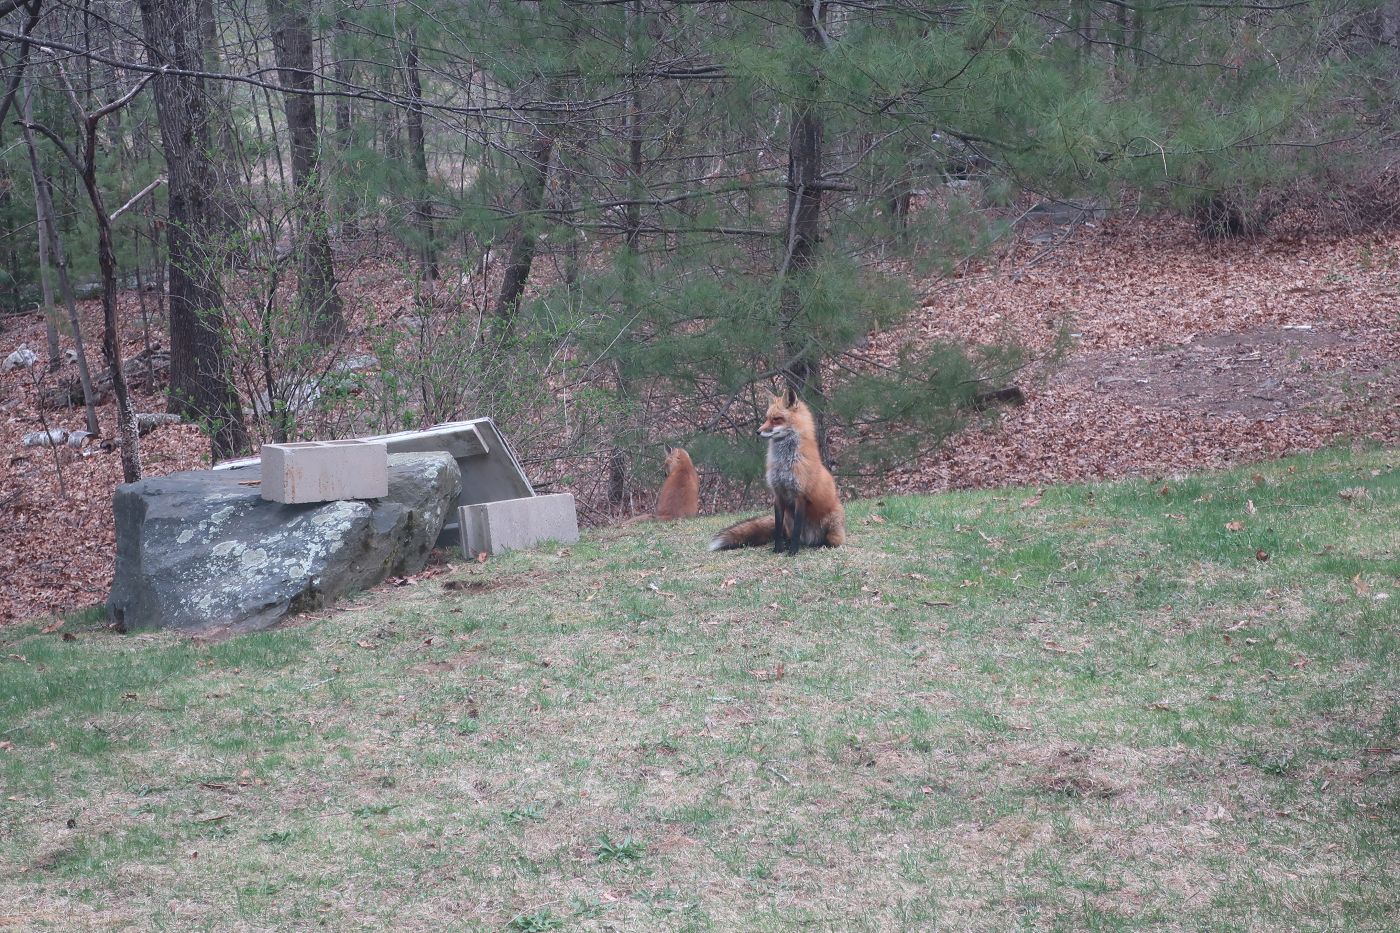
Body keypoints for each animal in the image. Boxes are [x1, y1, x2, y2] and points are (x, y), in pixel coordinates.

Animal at [709, 387, 846, 555]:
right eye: (767, 418)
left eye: (776, 419)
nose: (758, 431)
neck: (784, 464)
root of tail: (810, 540)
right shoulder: (778, 494)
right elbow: (778, 526)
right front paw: (778, 549)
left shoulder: (800, 495)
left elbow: (797, 529)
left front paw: (793, 551)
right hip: (788, 518)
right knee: (788, 533)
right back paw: (789, 544)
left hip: (832, 524)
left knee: (828, 540)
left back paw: (818, 544)